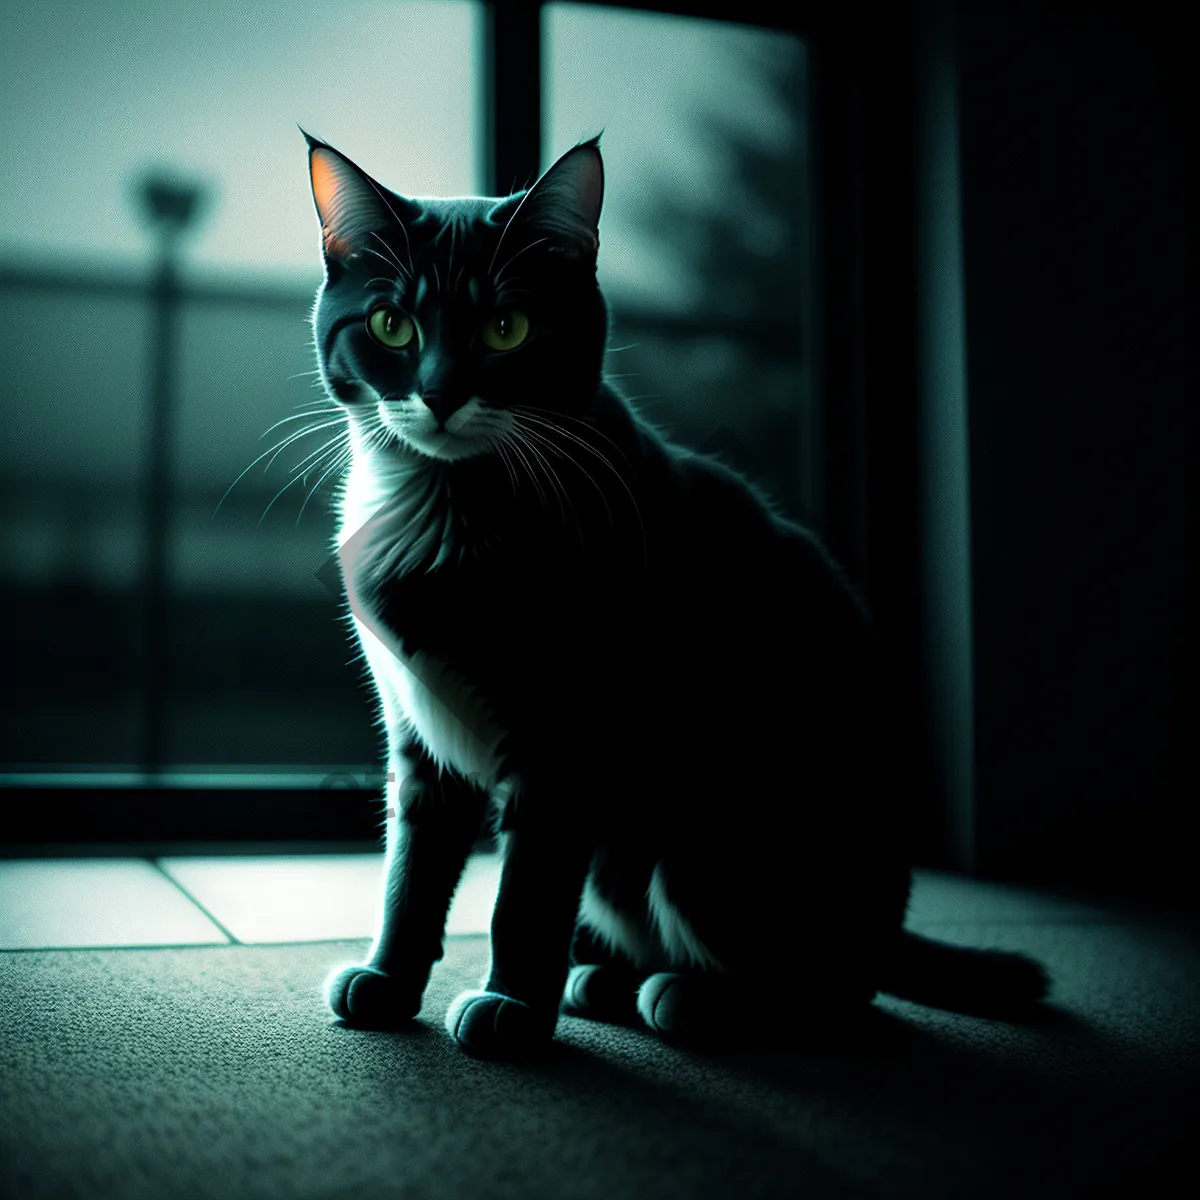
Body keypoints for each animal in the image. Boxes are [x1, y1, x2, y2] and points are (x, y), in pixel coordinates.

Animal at [307, 126, 1051, 1056]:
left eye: (507, 328)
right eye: (391, 324)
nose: (440, 394)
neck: (450, 506)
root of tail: (890, 922)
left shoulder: (570, 736)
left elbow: (528, 893)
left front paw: (511, 1009)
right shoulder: (419, 738)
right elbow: (412, 873)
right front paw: (390, 980)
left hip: (712, 842)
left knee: (833, 989)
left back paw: (693, 997)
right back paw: (605, 979)